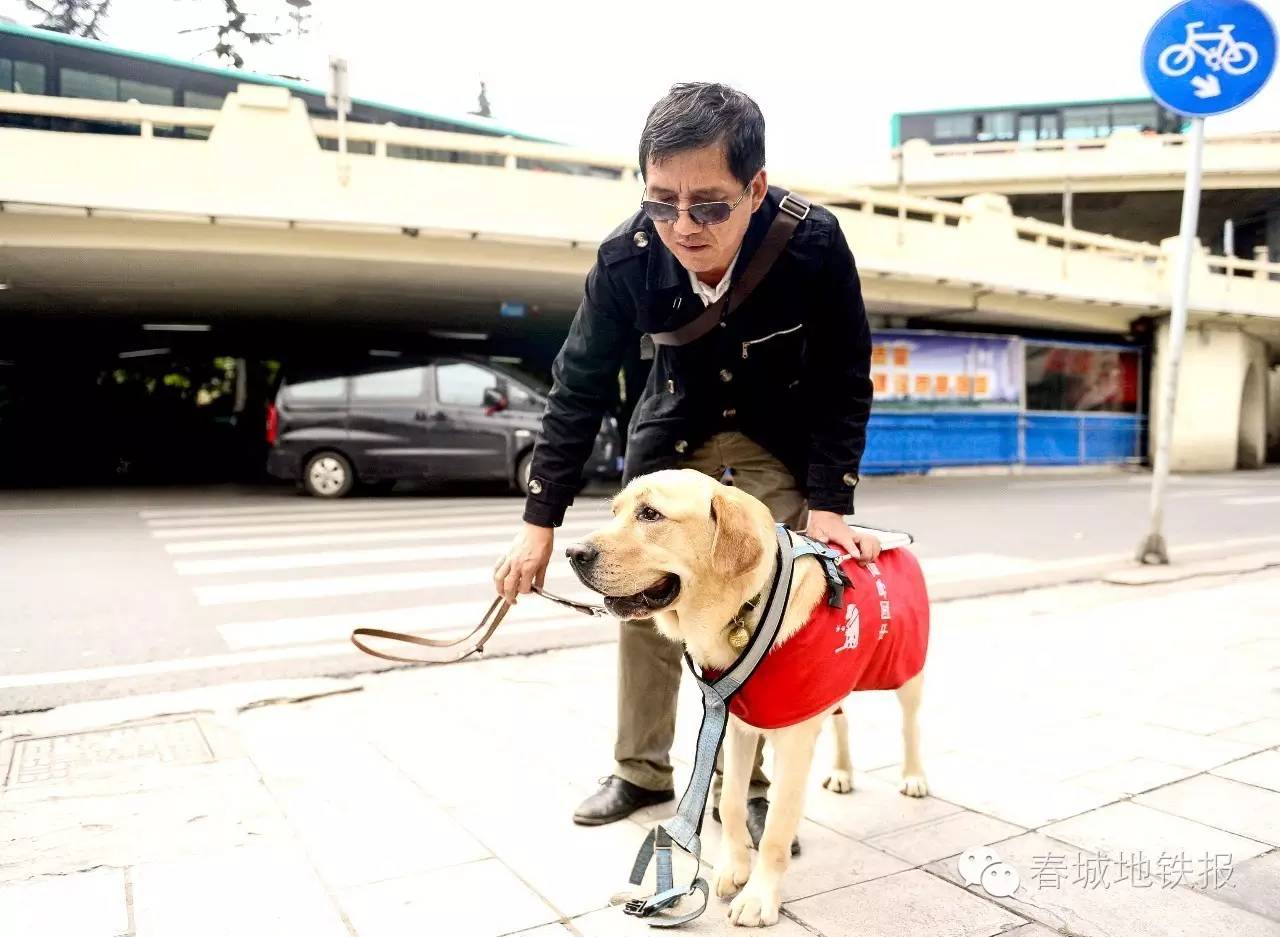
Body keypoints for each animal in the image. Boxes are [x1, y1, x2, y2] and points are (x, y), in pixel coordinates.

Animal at [565, 471, 926, 926]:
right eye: (615, 511)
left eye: (650, 514)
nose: (571, 552)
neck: (746, 609)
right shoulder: (736, 722)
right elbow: (734, 802)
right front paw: (732, 868)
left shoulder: (793, 737)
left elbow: (775, 829)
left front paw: (759, 897)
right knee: (842, 720)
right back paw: (842, 773)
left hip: (905, 672)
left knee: (910, 726)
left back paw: (913, 777)